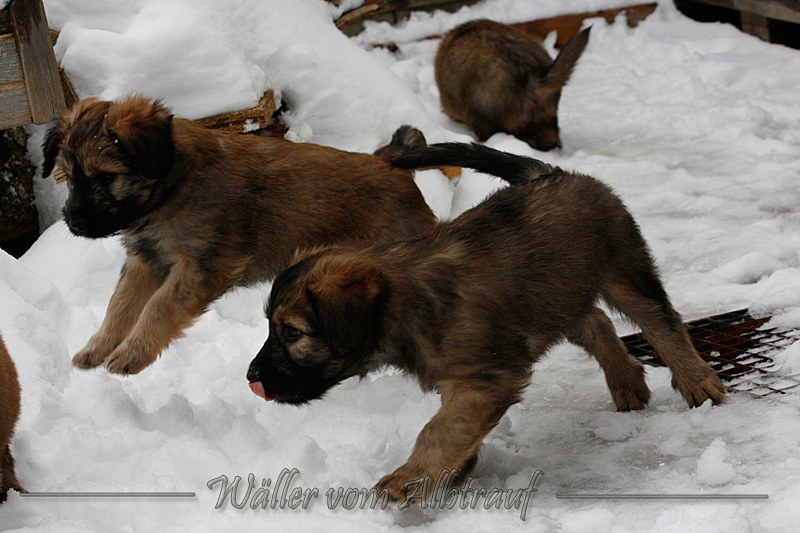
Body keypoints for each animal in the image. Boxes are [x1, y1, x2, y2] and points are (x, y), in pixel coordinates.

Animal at [42, 96, 437, 375]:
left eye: (107, 177)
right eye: (69, 176)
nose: (74, 222)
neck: (171, 186)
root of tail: (396, 170)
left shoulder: (201, 267)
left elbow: (158, 308)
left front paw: (132, 354)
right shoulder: (145, 261)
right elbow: (119, 306)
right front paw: (98, 348)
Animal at [247, 142, 727, 503]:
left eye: (292, 332)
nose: (251, 377)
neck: (409, 303)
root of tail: (552, 172)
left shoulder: (485, 379)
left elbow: (439, 429)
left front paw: (408, 478)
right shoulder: (464, 382)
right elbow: (459, 428)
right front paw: (449, 472)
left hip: (623, 270)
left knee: (663, 321)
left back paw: (697, 381)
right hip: (559, 294)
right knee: (596, 323)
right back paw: (626, 381)